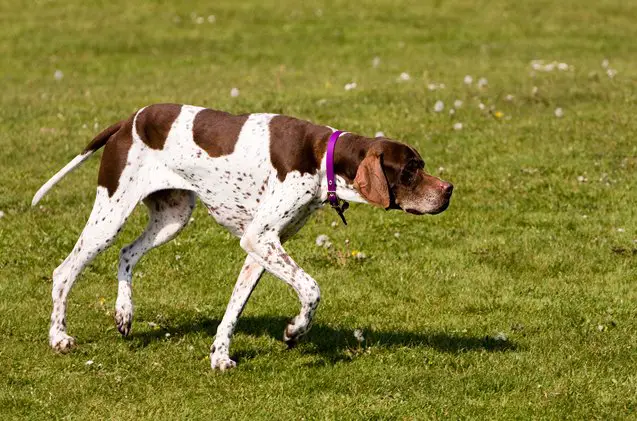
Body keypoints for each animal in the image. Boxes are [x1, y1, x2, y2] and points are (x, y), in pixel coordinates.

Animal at [32, 103, 452, 370]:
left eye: (421, 166)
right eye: (410, 170)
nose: (449, 190)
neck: (323, 160)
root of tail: (127, 120)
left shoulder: (261, 248)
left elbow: (234, 308)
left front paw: (219, 356)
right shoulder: (260, 240)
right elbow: (312, 289)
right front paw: (295, 331)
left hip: (172, 217)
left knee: (126, 253)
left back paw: (124, 313)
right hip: (110, 214)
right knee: (64, 271)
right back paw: (58, 338)